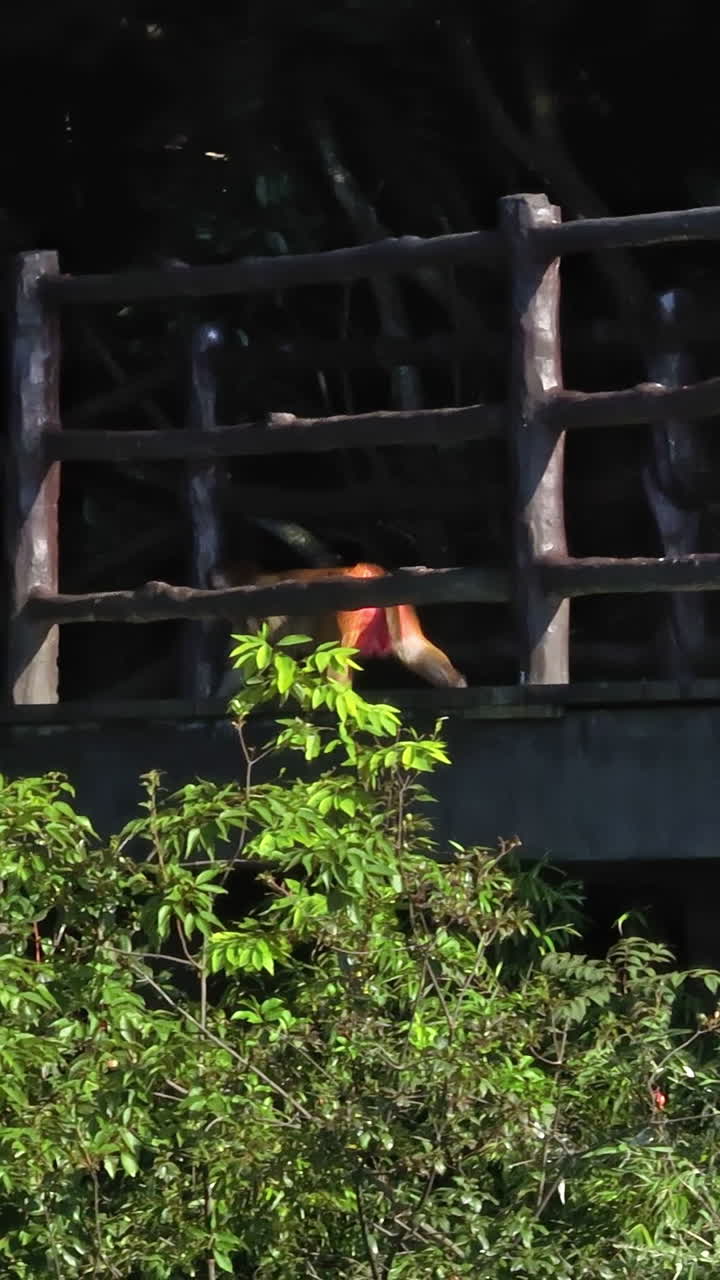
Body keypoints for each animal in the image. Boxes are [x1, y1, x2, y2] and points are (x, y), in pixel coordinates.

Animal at [211, 559, 467, 697]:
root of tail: (362, 571)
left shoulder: (246, 611)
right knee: (411, 649)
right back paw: (457, 684)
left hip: (345, 610)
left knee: (334, 665)